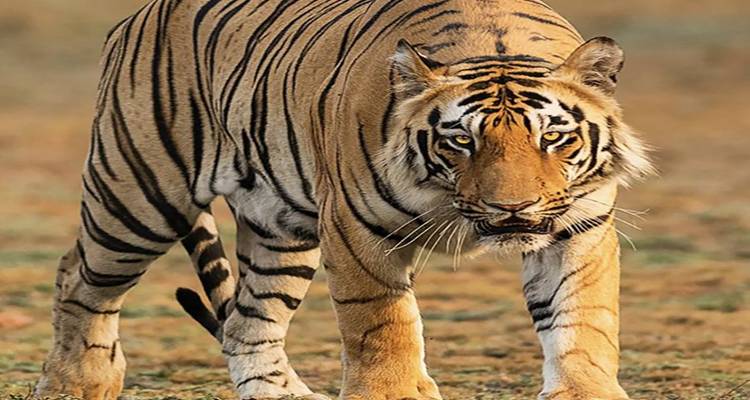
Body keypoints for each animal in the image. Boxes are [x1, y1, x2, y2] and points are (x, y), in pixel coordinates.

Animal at [35, 0, 652, 399]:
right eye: (461, 141)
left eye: (554, 138)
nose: (512, 211)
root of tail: (136, 16)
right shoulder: (357, 229)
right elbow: (382, 322)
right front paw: (395, 393)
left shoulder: (578, 227)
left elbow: (582, 316)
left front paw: (585, 391)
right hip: (138, 195)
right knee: (79, 280)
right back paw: (74, 385)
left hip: (280, 232)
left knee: (247, 323)